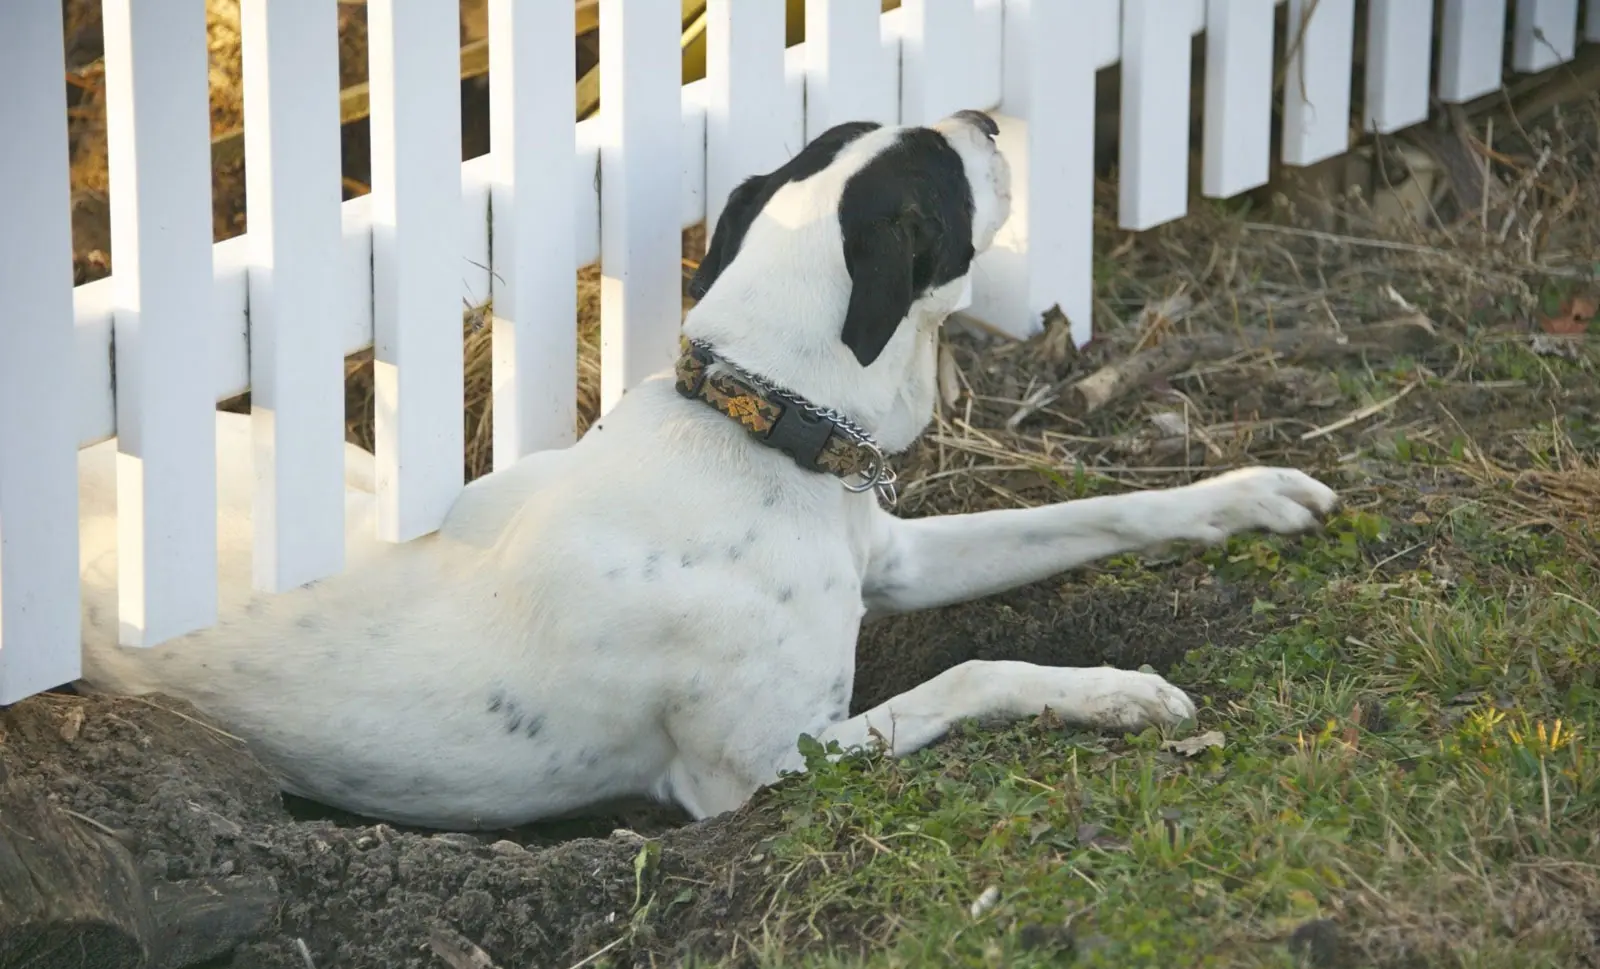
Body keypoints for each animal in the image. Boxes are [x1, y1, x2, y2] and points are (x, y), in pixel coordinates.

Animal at [81, 110, 1344, 831]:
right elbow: (972, 672)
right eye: (946, 169)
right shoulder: (767, 769)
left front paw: (1245, 494)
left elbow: (1102, 509)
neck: (757, 425)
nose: (986, 113)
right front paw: (1121, 694)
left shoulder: (893, 556)